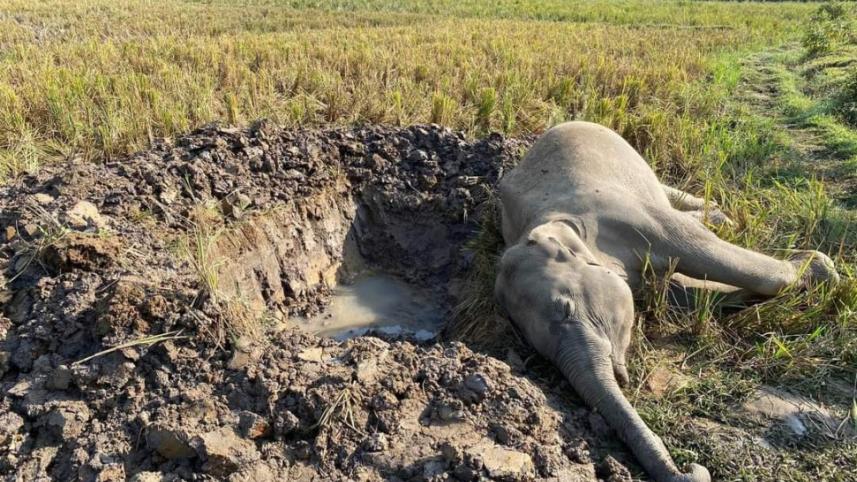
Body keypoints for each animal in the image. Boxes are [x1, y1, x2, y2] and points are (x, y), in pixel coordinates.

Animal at [494, 121, 839, 482]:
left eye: (566, 308)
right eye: (537, 351)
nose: (690, 467)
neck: (542, 224)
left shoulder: (622, 212)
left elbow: (700, 249)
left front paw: (821, 269)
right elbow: (679, 291)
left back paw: (724, 219)